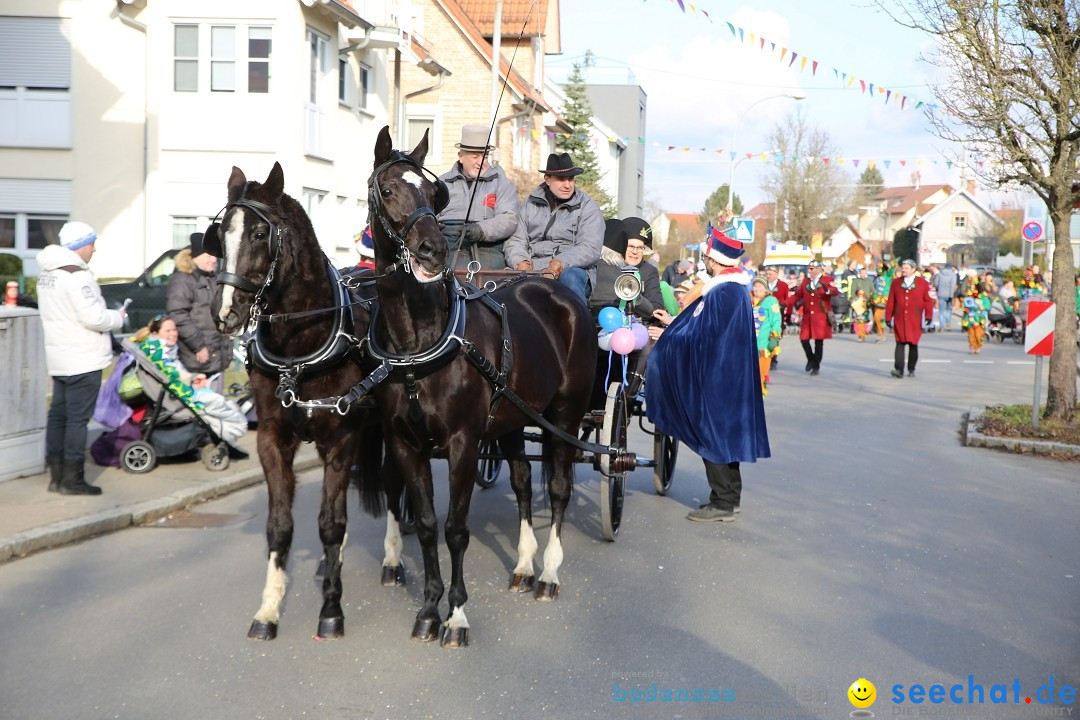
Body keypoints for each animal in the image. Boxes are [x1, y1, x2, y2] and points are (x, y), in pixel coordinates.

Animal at [367, 126, 596, 651]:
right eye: (387, 190)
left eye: (434, 194)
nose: (432, 250)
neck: (419, 343)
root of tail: (555, 290)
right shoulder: (405, 444)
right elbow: (426, 526)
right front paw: (428, 611)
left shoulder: (463, 445)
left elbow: (456, 530)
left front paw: (456, 617)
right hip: (514, 418)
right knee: (523, 483)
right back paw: (524, 567)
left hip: (565, 415)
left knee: (558, 489)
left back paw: (548, 574)